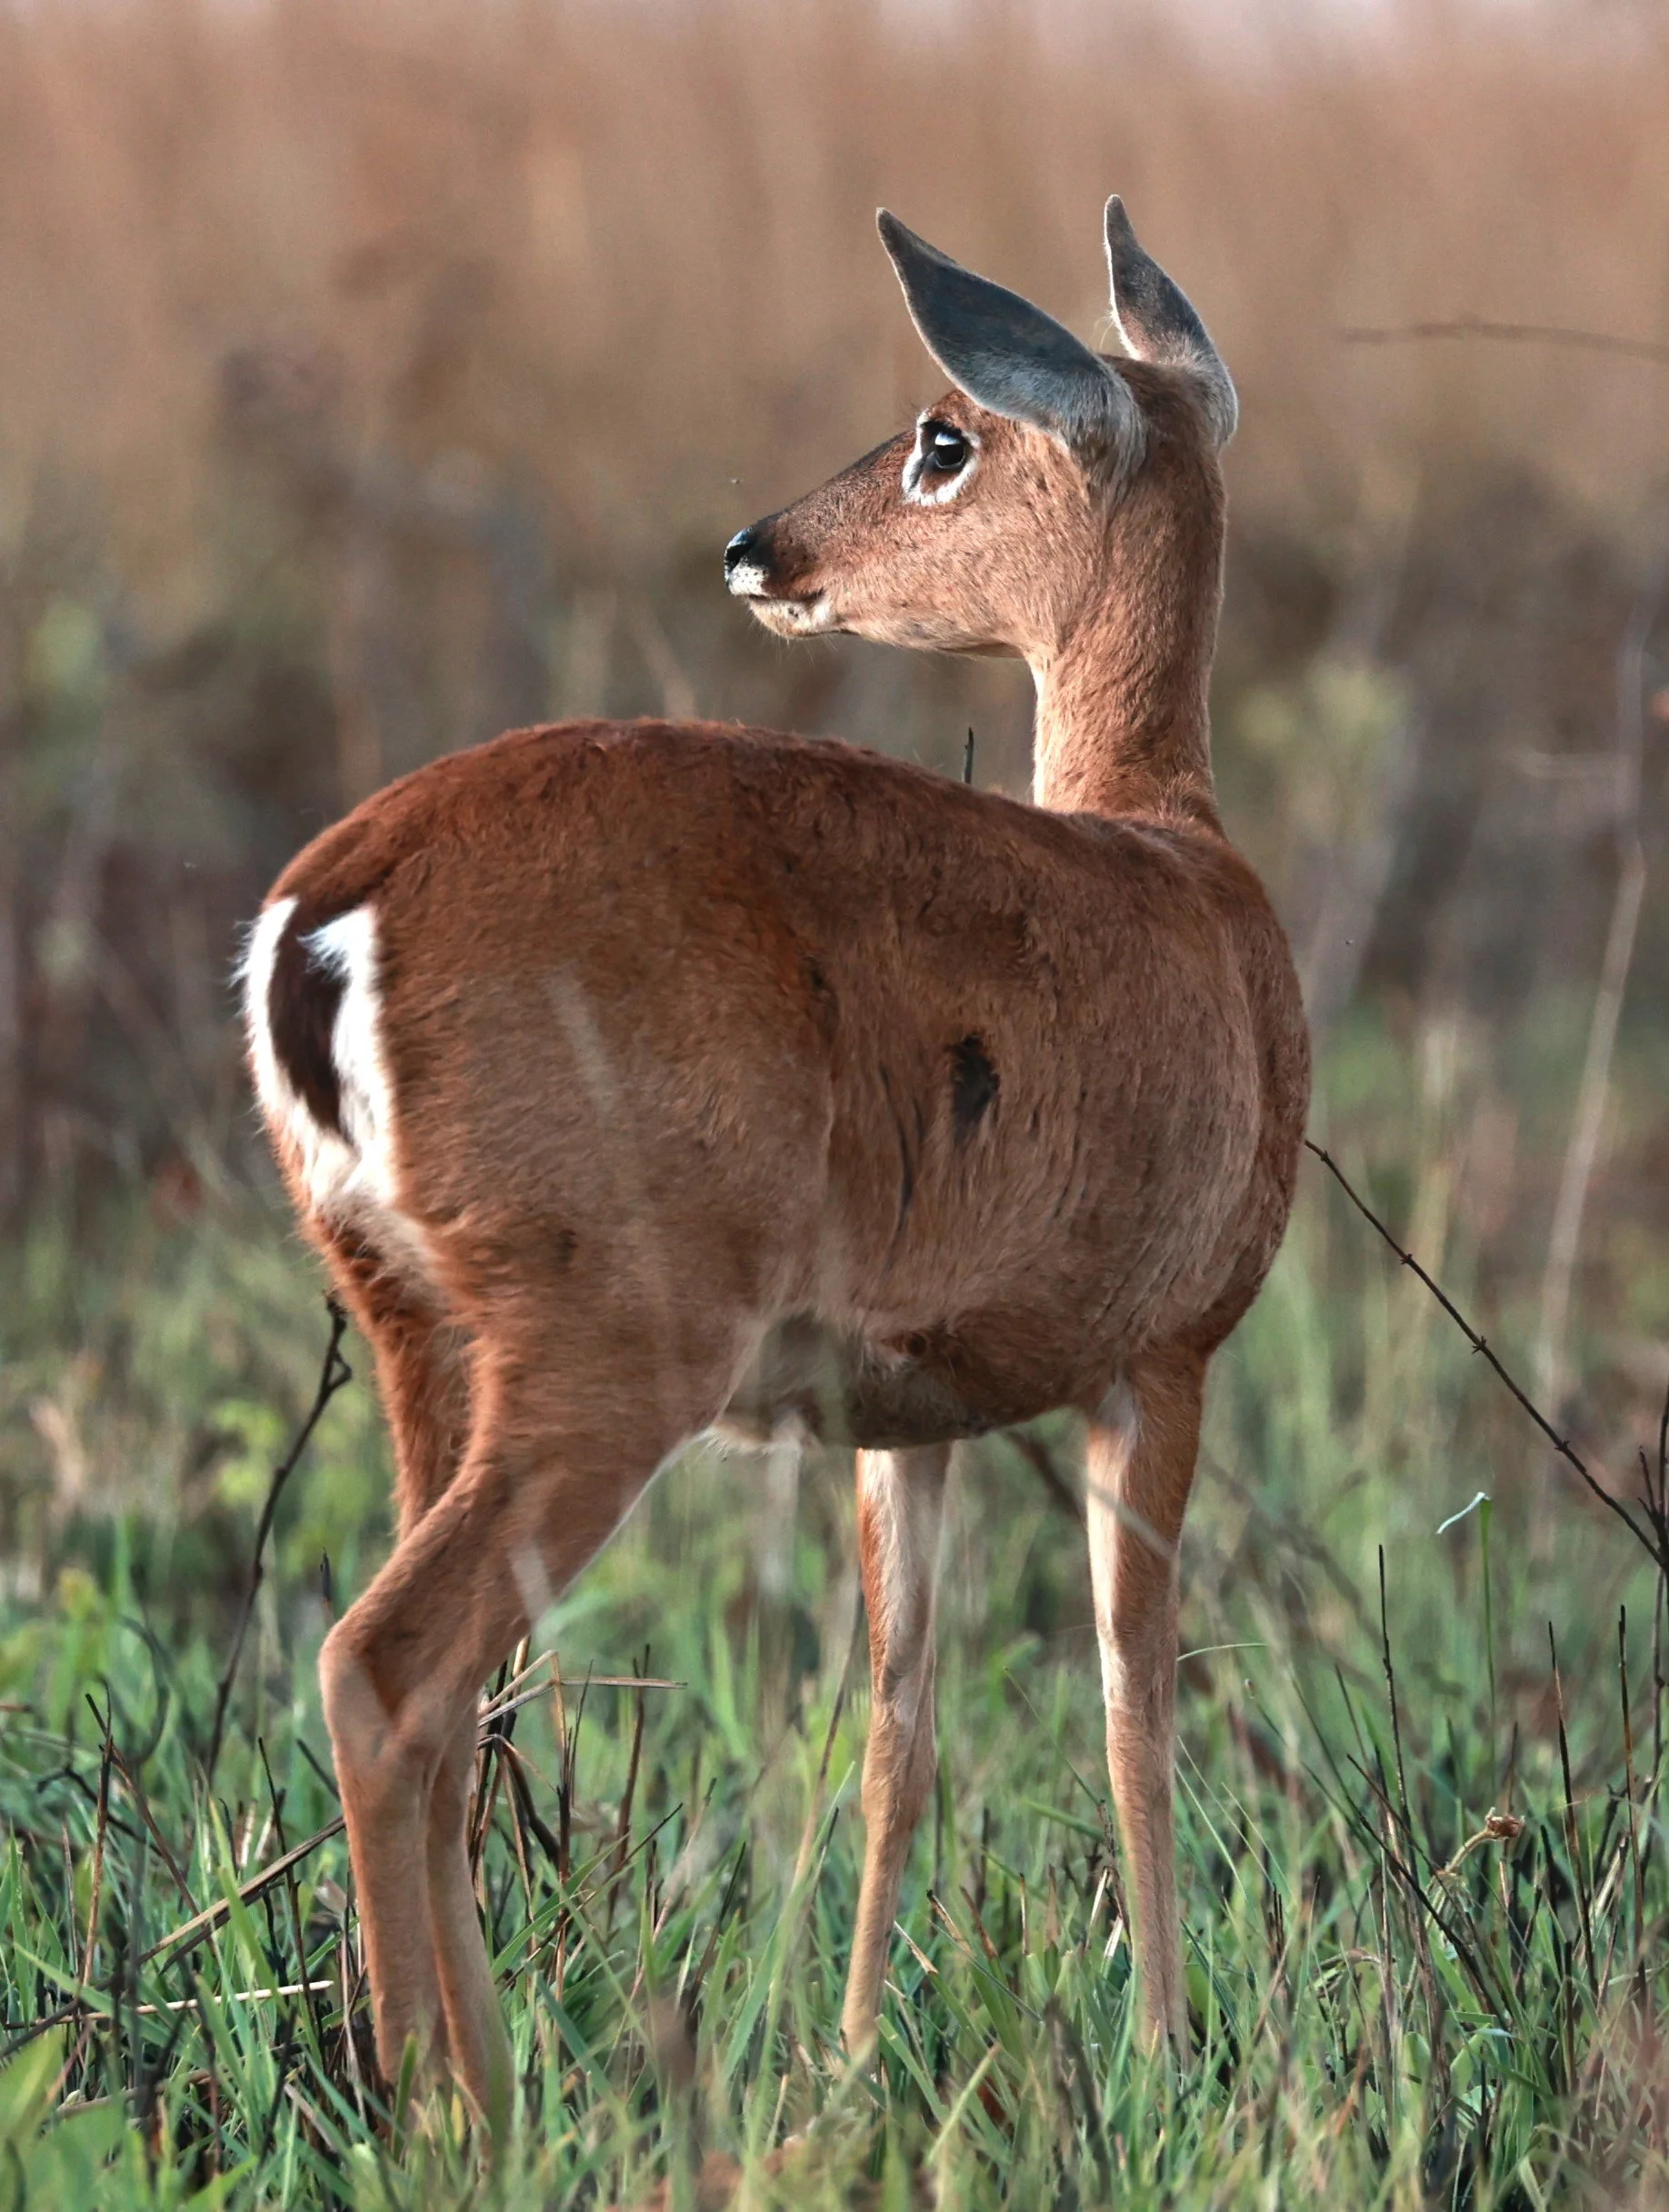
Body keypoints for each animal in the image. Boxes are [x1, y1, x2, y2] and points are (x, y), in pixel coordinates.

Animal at [241, 196, 1309, 2141]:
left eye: (943, 436)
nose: (756, 546)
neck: (1179, 862)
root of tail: (318, 916)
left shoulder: (912, 1412)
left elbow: (895, 1721)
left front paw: (856, 2048)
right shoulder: (1162, 1358)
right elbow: (1136, 1693)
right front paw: (1163, 2046)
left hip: (421, 1343)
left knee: (440, 1700)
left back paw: (490, 2079)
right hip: (609, 1356)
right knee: (386, 1666)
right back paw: (453, 2107)